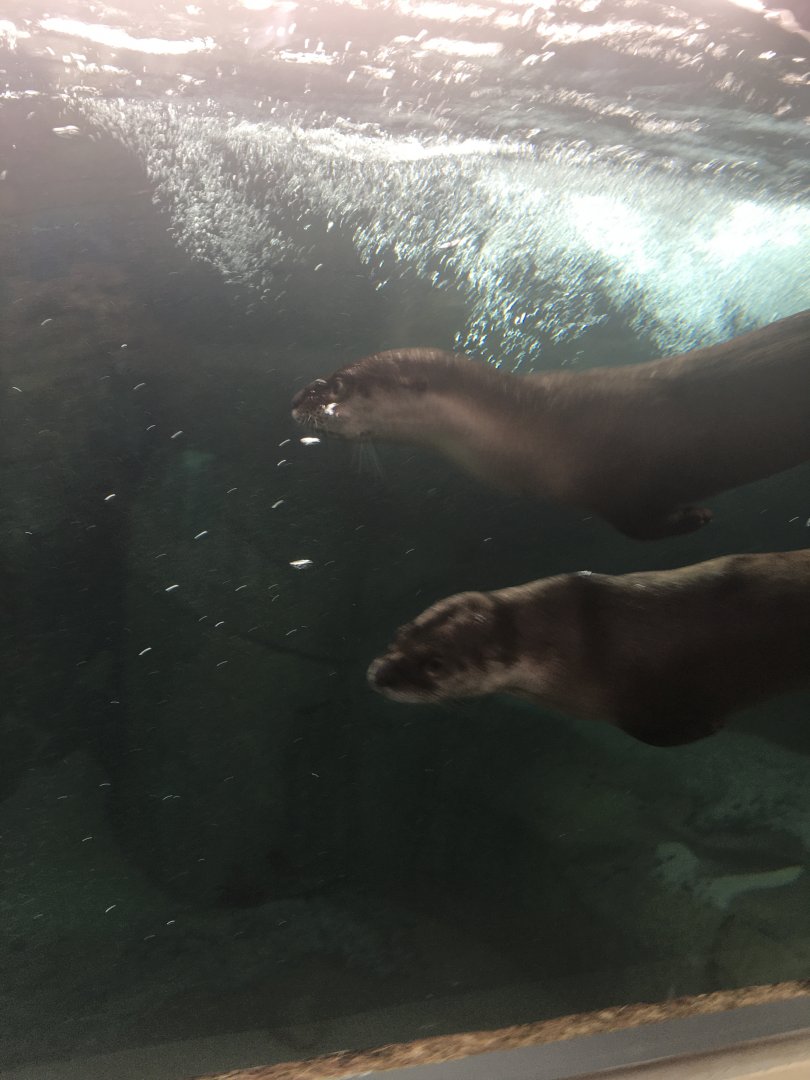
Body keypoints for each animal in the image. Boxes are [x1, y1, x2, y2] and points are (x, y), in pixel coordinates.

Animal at [291, 310, 810, 540]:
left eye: (337, 384)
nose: (298, 397)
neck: (537, 424)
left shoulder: (619, 485)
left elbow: (639, 525)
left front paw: (696, 517)